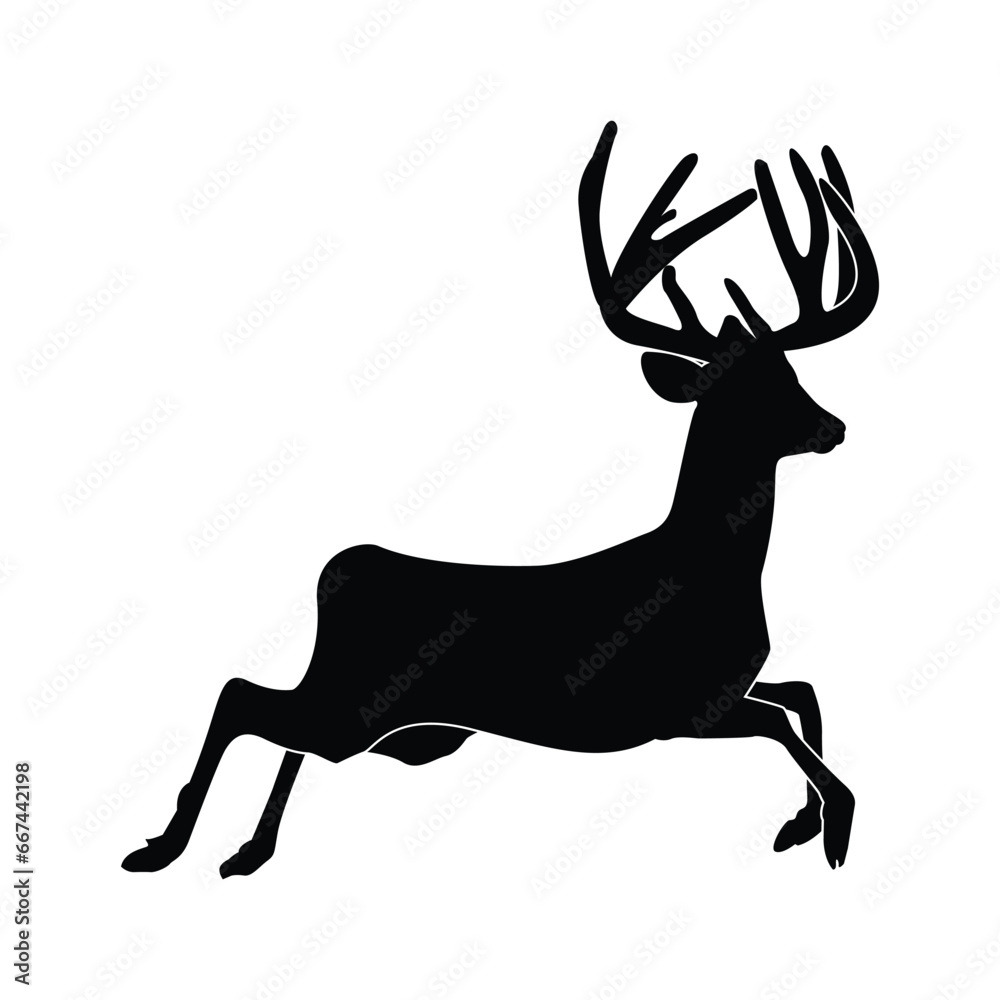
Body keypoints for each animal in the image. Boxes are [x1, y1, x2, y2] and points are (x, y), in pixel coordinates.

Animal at [122, 120, 877, 878]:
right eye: (746, 391)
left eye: (789, 372)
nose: (834, 427)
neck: (717, 571)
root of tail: (337, 572)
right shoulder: (681, 706)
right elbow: (785, 723)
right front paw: (834, 827)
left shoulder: (726, 692)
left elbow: (802, 696)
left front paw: (803, 823)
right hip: (356, 709)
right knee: (239, 698)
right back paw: (163, 844)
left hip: (355, 707)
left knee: (280, 728)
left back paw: (250, 849)